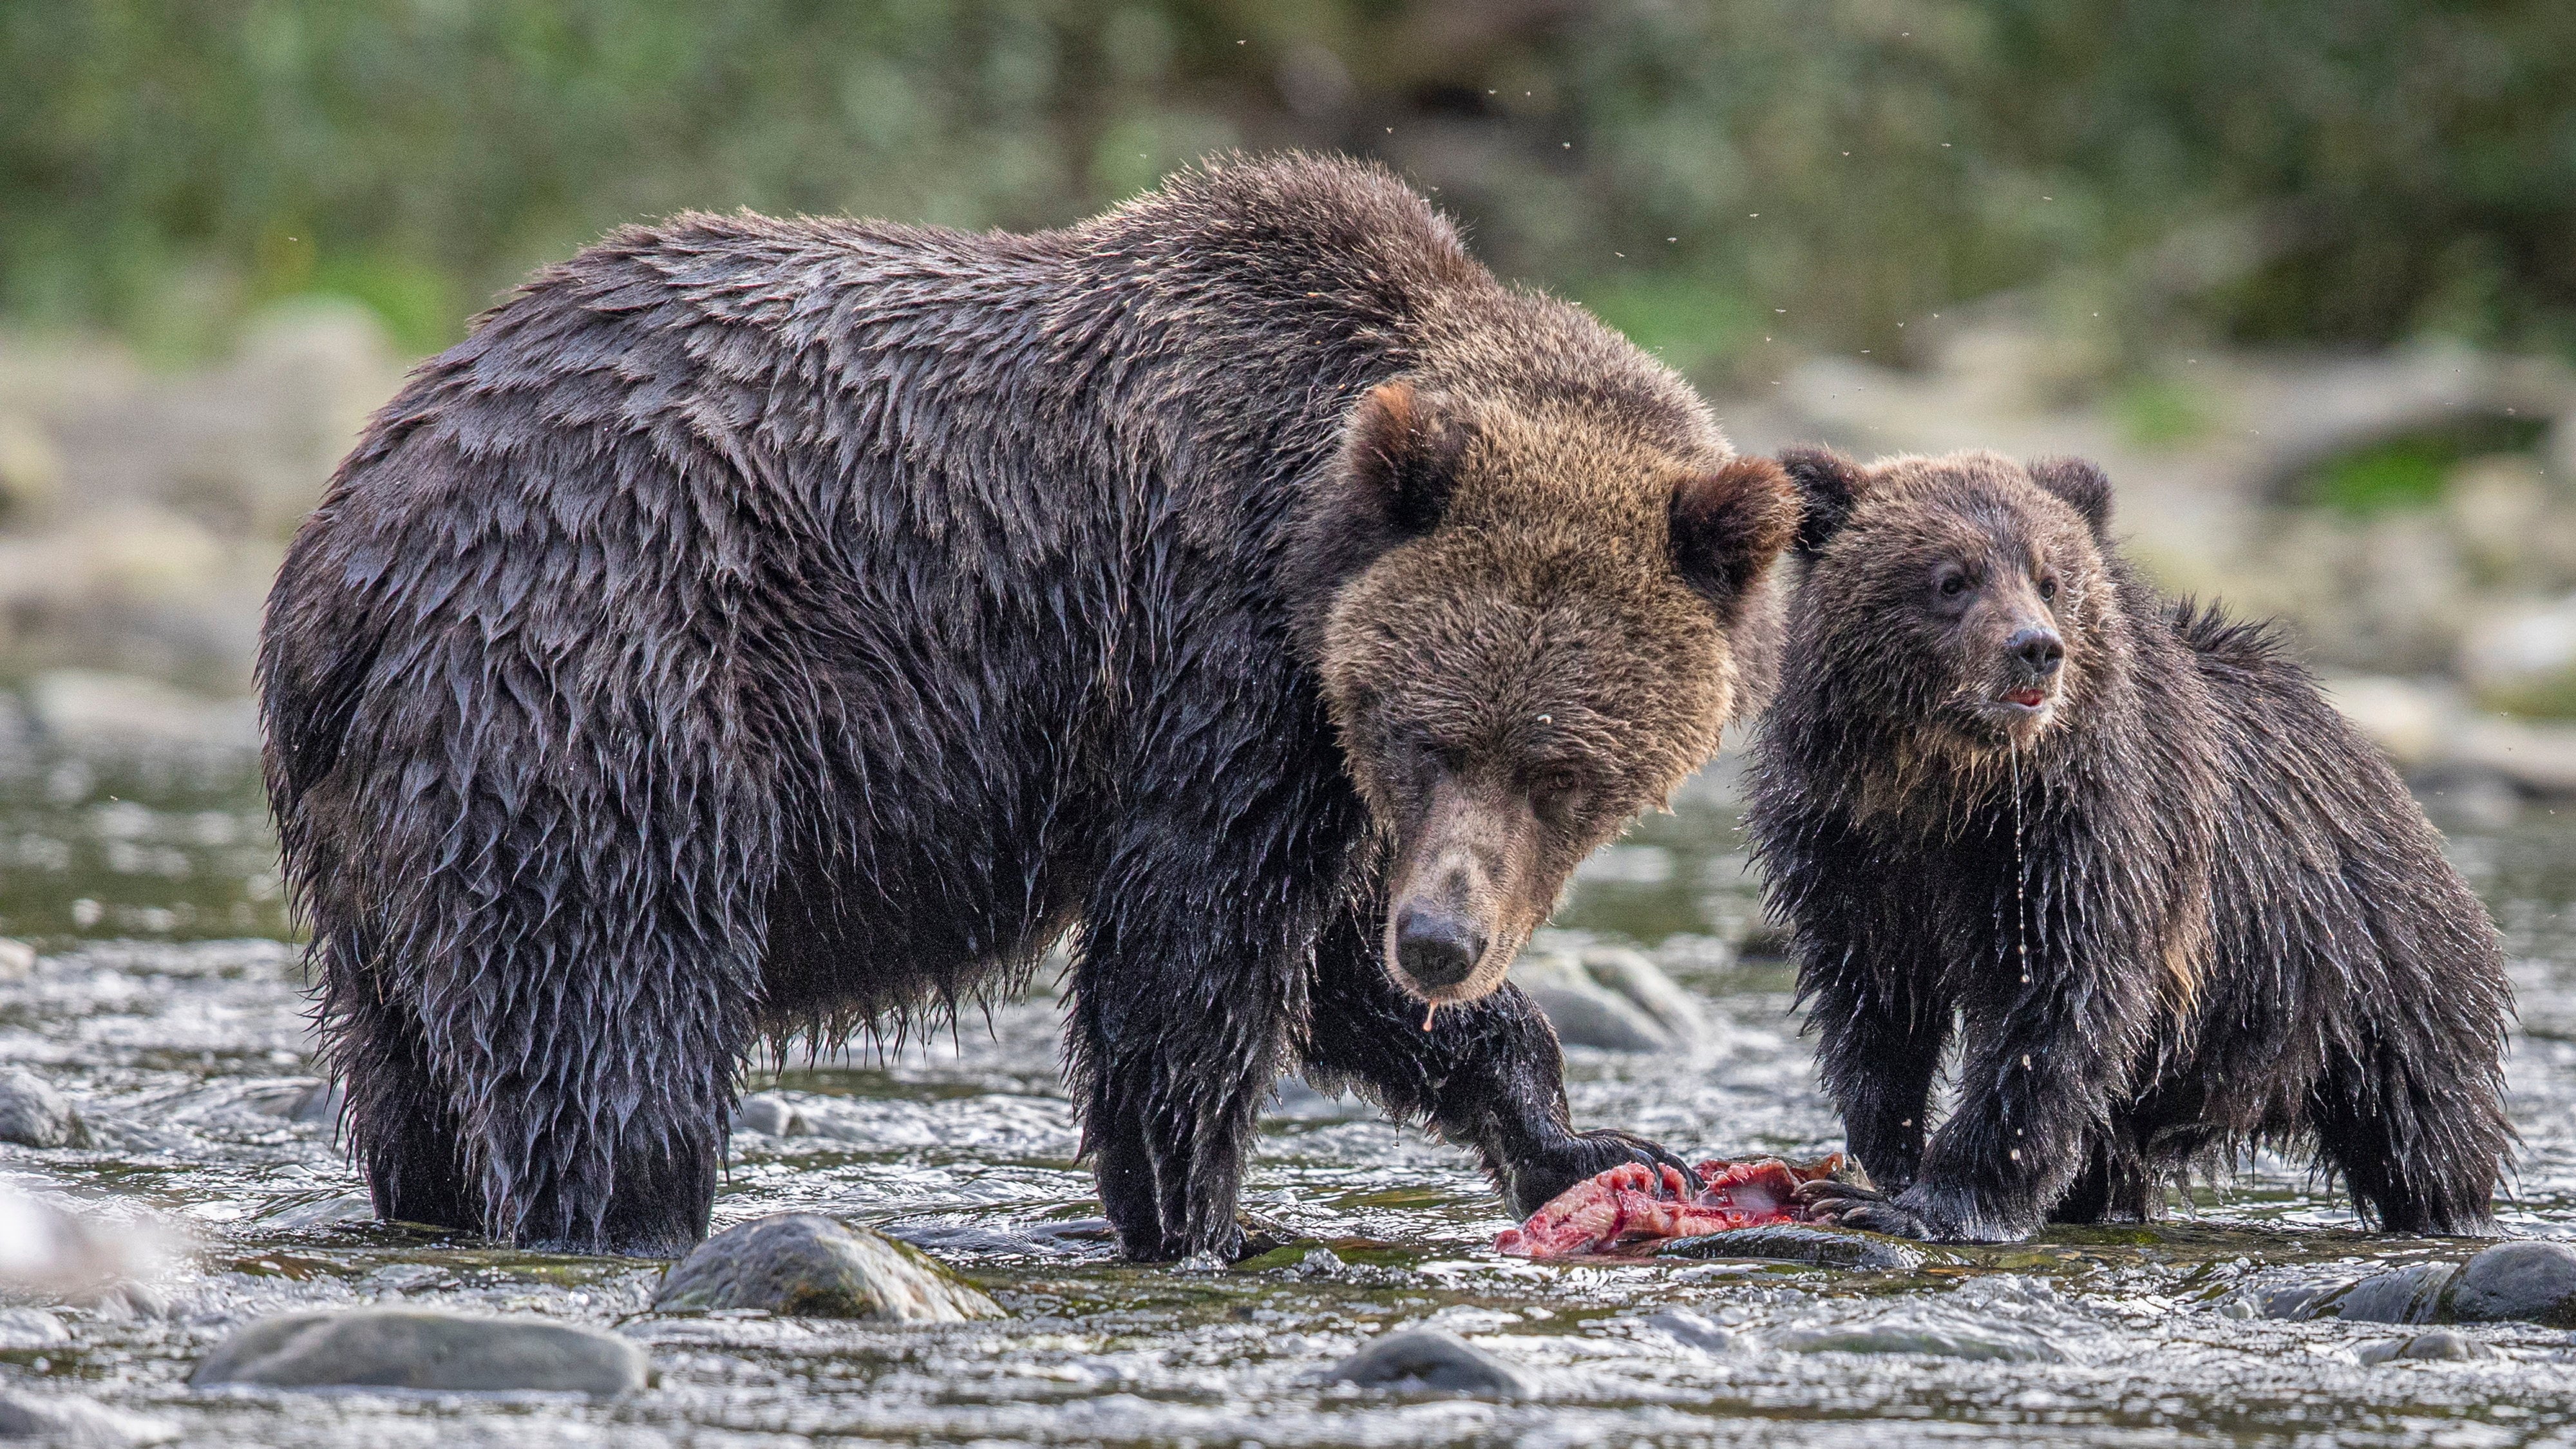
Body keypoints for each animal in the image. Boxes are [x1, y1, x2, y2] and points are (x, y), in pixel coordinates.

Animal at [257, 154, 1801, 1260]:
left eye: (1566, 768)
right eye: (1432, 734)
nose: (1445, 943)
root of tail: (342, 559)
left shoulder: (1317, 755)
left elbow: (1328, 963)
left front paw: (1590, 1141)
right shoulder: (1209, 660)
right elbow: (1189, 956)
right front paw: (1206, 1222)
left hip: (379, 838)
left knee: (411, 1073)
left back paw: (434, 1202)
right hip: (595, 692)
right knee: (610, 1016)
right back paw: (621, 1217)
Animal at [1744, 447, 2513, 1243]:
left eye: (2049, 579)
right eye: (1952, 578)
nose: (2035, 649)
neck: (1946, 786)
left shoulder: (2079, 839)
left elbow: (2055, 1008)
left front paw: (1934, 1202)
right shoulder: (1847, 847)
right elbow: (1875, 1010)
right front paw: (1872, 1166)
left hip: (2368, 978)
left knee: (2421, 1128)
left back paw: (2447, 1212)